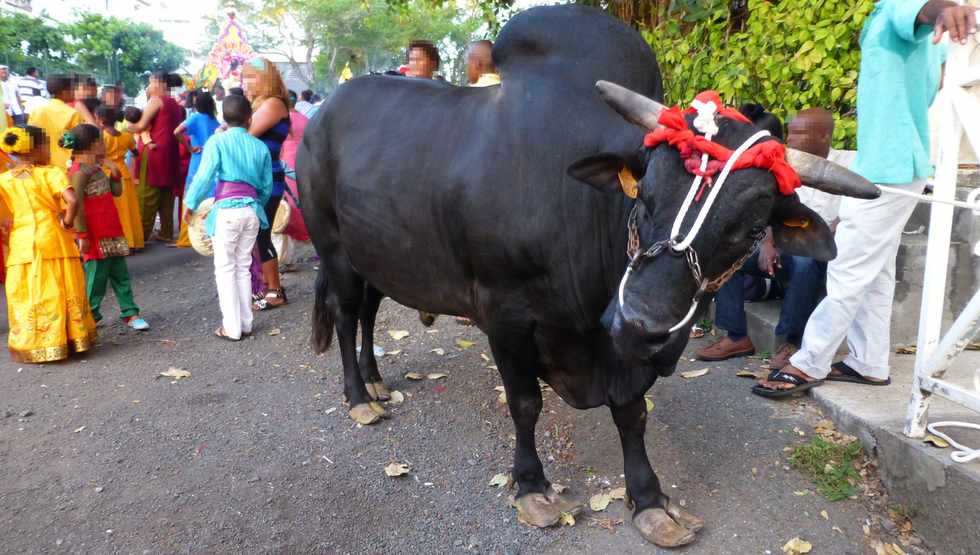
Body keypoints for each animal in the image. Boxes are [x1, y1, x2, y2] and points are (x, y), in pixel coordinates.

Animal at [294, 5, 876, 552]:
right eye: (645, 193)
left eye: (754, 228)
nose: (642, 324)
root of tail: (324, 114)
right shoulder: (504, 314)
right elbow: (525, 404)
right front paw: (532, 487)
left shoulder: (622, 355)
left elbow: (631, 414)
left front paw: (649, 499)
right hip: (335, 249)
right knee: (346, 316)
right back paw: (359, 397)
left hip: (377, 254)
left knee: (369, 312)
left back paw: (375, 379)